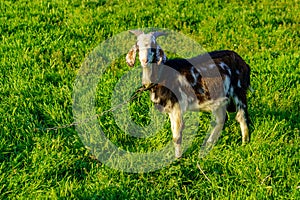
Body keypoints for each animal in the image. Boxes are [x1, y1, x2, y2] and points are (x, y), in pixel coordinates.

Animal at [125, 30, 250, 158]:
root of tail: (242, 62)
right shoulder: (170, 110)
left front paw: (178, 158)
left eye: (153, 47)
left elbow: (177, 136)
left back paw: (244, 144)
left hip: (239, 91)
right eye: (138, 47)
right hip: (219, 99)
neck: (162, 75)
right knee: (221, 120)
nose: (144, 61)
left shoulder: (177, 107)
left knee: (241, 116)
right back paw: (208, 145)